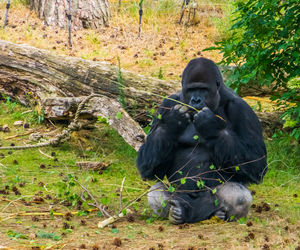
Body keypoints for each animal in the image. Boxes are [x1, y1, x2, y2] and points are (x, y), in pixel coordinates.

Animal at [136, 57, 268, 224]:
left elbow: (257, 163)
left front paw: (210, 125)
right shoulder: (167, 104)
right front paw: (173, 122)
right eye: (191, 89)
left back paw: (214, 213)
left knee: (238, 195)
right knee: (156, 192)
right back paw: (179, 212)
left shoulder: (241, 109)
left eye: (203, 89)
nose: (196, 99)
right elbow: (149, 166)